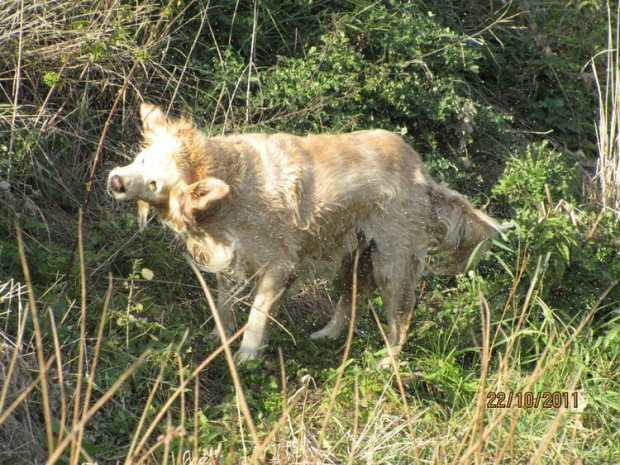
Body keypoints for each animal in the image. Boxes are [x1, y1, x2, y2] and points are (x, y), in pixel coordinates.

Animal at [108, 103, 504, 364]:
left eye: (156, 184)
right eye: (141, 161)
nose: (115, 181)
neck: (229, 185)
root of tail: (423, 174)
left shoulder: (279, 264)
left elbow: (257, 311)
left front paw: (247, 352)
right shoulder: (231, 259)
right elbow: (225, 305)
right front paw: (222, 337)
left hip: (391, 263)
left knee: (399, 317)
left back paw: (387, 360)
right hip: (355, 257)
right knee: (351, 300)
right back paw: (328, 335)